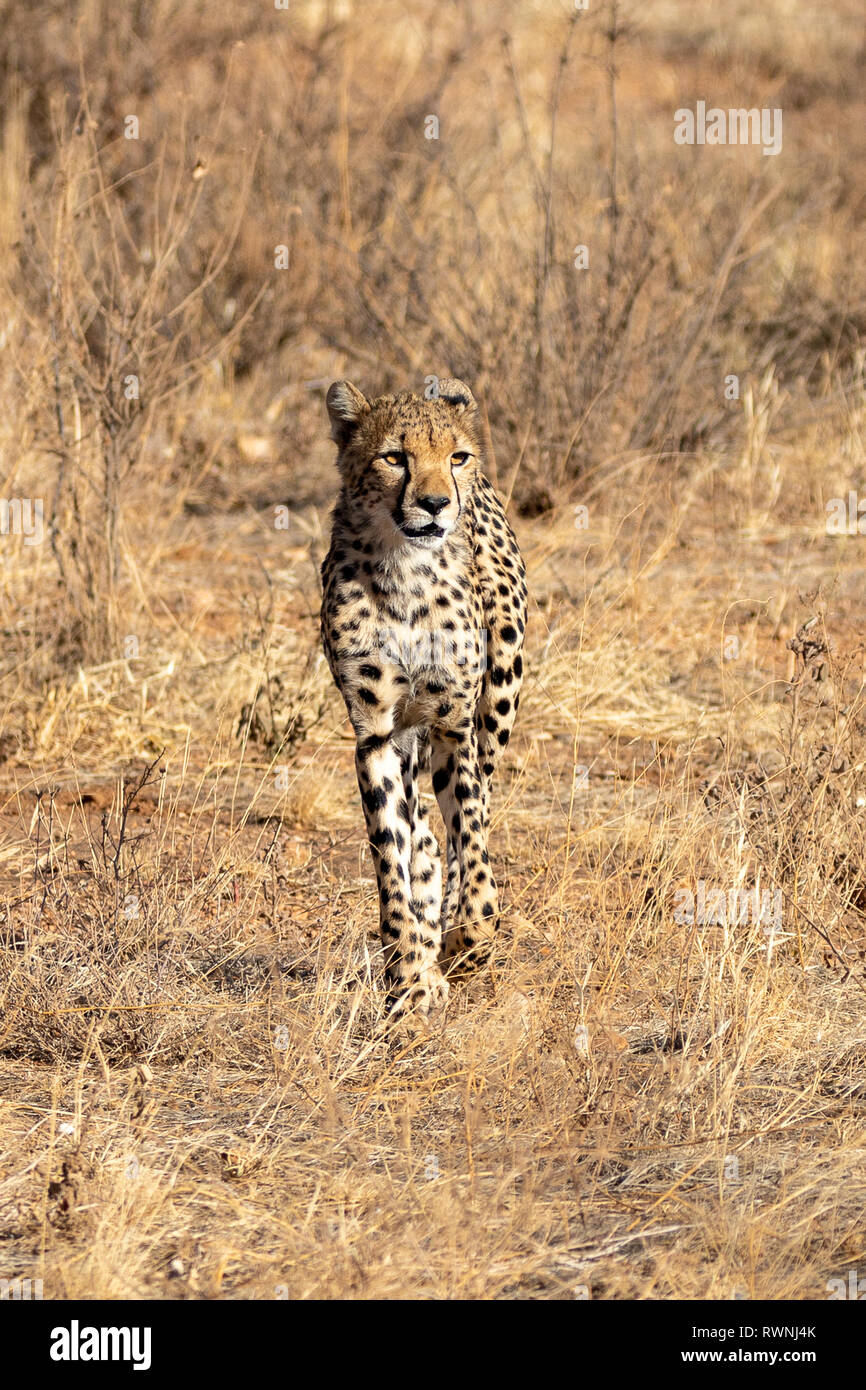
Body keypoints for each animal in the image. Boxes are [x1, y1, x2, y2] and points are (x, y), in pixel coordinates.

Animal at [322, 375, 528, 1017]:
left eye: (455, 457)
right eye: (395, 457)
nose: (436, 504)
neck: (405, 570)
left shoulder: (453, 725)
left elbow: (475, 842)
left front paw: (469, 937)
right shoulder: (377, 734)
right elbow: (393, 855)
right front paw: (411, 973)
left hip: (500, 694)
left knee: (473, 813)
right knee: (425, 838)